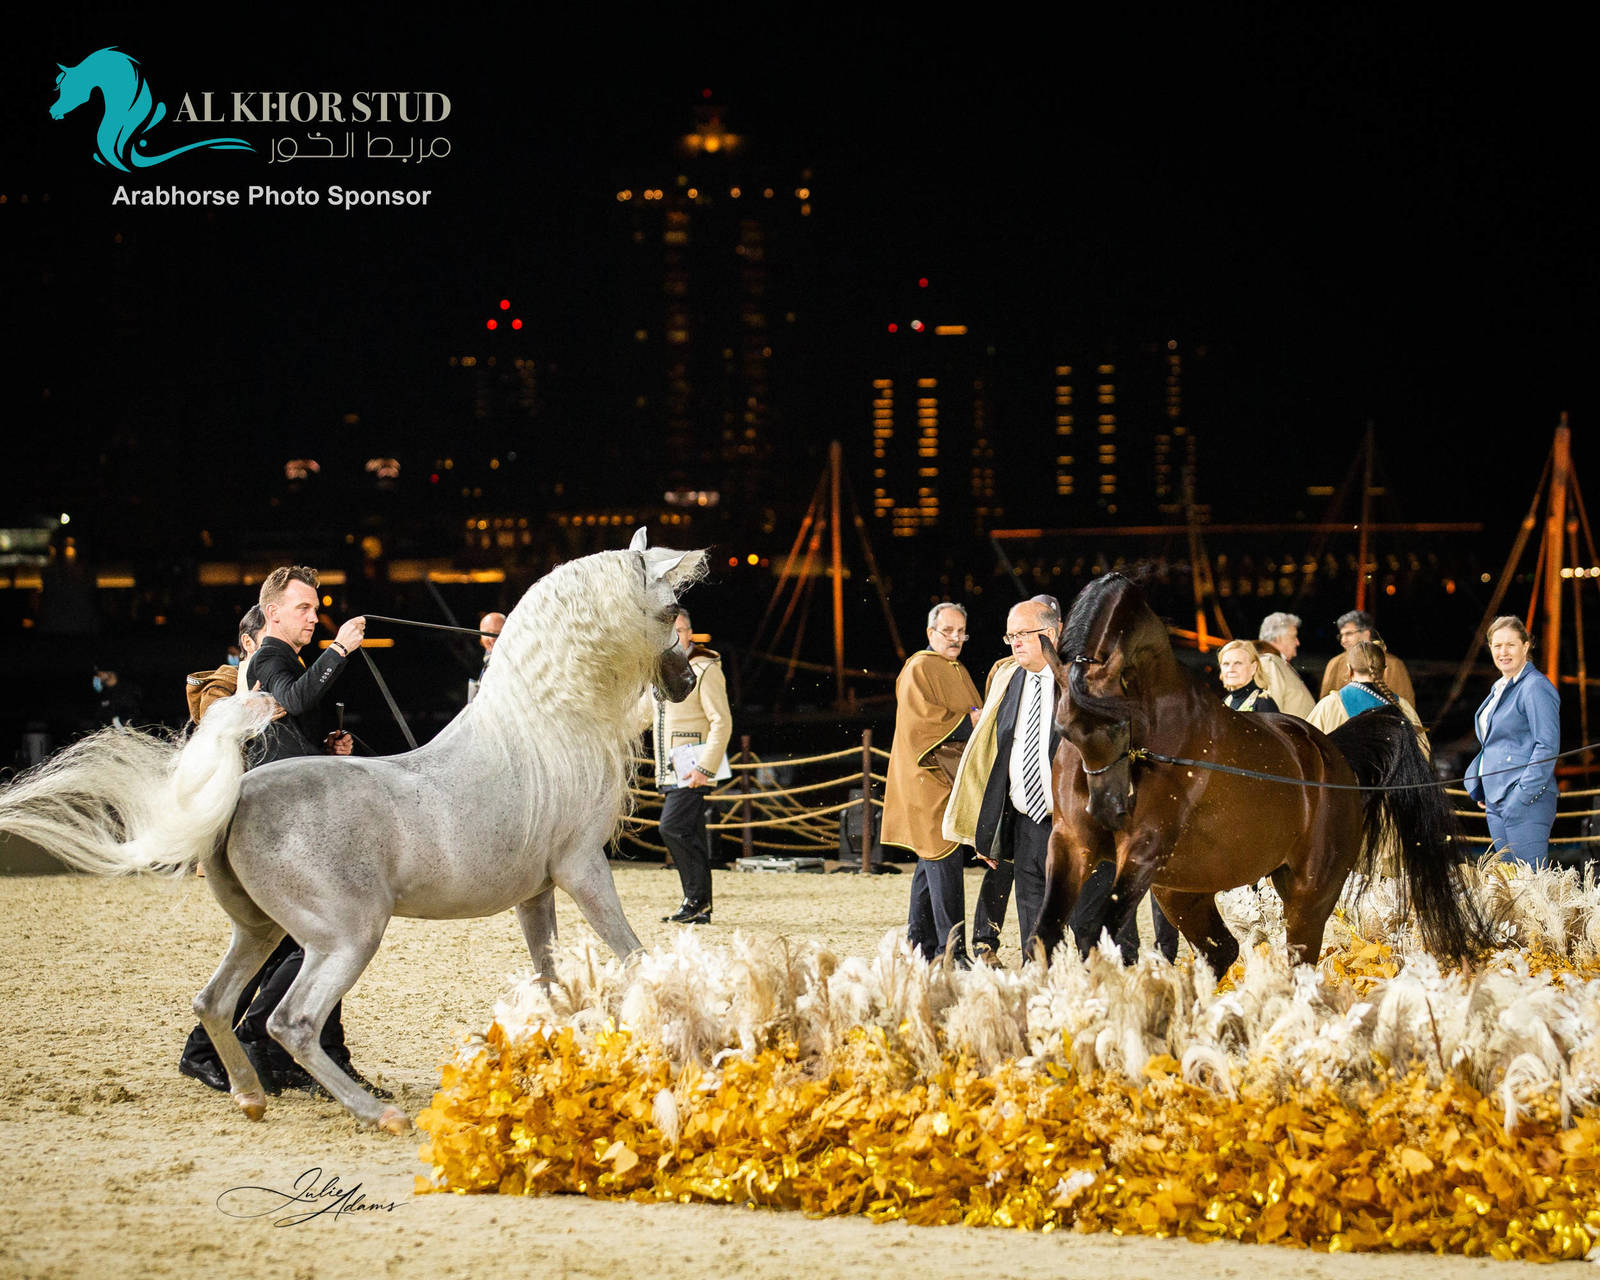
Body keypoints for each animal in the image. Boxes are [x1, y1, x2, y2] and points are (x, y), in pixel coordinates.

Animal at [0, 532, 702, 1132]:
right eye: (670, 609)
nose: (688, 680)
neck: (542, 731)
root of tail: (238, 799)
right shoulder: (582, 868)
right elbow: (633, 955)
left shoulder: (537, 891)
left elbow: (553, 983)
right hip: (347, 936)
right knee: (292, 1020)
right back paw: (377, 1113)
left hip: (262, 930)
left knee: (215, 1002)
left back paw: (250, 1096)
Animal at [1034, 573, 1487, 974]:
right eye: (1064, 730)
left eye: (1119, 724)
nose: (1107, 810)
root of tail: (1335, 756)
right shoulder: (1071, 842)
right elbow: (1045, 934)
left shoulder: (1144, 850)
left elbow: (1101, 935)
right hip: (1180, 890)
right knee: (1222, 950)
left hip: (1308, 893)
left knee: (1298, 962)